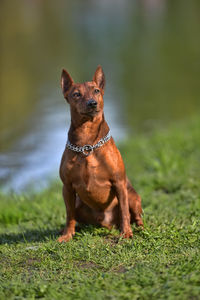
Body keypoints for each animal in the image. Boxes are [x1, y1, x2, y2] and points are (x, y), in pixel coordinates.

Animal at [57, 65, 143, 241]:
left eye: (96, 91)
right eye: (76, 94)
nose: (92, 103)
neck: (87, 143)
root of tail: (108, 224)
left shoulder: (119, 183)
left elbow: (124, 211)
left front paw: (126, 233)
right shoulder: (67, 187)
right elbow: (69, 215)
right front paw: (67, 235)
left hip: (133, 197)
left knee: (135, 216)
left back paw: (138, 228)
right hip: (78, 203)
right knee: (75, 217)